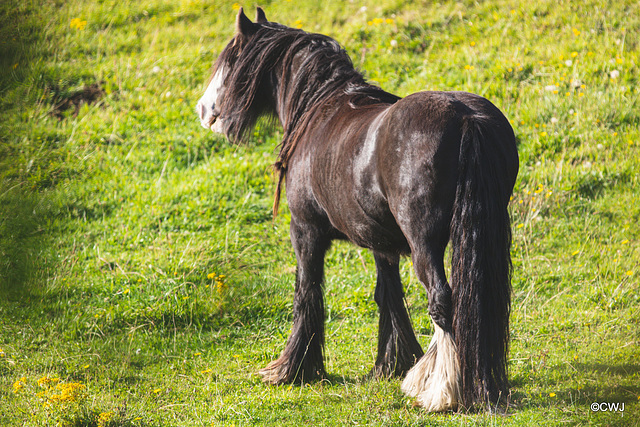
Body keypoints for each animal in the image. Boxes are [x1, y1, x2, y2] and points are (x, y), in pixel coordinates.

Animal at [196, 8, 520, 412]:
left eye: (229, 59)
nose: (203, 109)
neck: (319, 109)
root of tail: (465, 118)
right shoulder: (381, 242)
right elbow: (389, 296)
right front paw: (392, 364)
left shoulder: (305, 230)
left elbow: (307, 292)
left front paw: (292, 370)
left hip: (425, 244)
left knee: (442, 300)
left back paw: (440, 390)